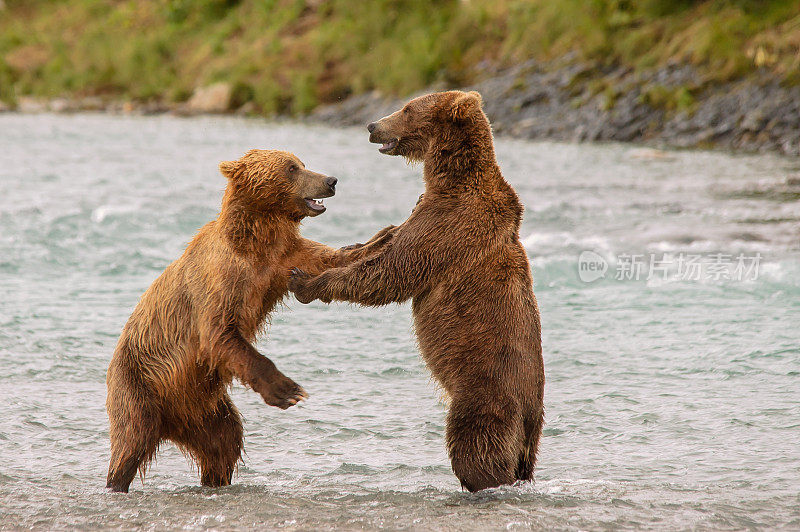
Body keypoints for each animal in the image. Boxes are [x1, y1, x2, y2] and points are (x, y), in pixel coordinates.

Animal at [106, 148, 394, 492]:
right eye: (292, 168)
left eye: (302, 162)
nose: (331, 180)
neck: (258, 239)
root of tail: (172, 422)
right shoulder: (223, 277)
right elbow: (220, 332)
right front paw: (287, 390)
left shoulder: (281, 260)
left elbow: (325, 259)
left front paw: (381, 237)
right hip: (138, 386)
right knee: (131, 441)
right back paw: (117, 481)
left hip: (206, 409)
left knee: (223, 441)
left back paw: (215, 480)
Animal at [290, 92, 548, 494]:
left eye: (408, 108)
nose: (372, 125)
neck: (450, 179)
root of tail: (531, 413)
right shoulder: (423, 210)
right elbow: (383, 244)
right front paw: (350, 247)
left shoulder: (447, 226)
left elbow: (392, 271)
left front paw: (305, 282)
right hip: (529, 435)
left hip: (485, 394)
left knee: (474, 446)